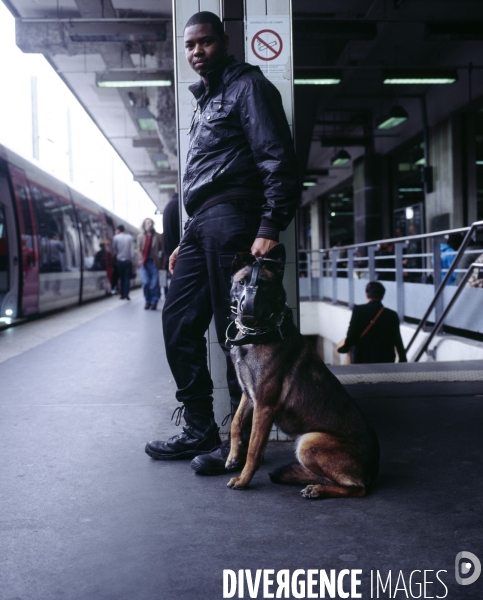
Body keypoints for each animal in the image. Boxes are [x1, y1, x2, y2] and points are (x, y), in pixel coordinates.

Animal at [225, 241, 380, 500]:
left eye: (264, 284)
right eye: (241, 282)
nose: (247, 309)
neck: (259, 335)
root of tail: (374, 469)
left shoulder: (264, 406)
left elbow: (254, 450)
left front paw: (244, 479)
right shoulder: (249, 396)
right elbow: (235, 424)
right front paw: (233, 455)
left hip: (309, 441)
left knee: (359, 489)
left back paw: (318, 489)